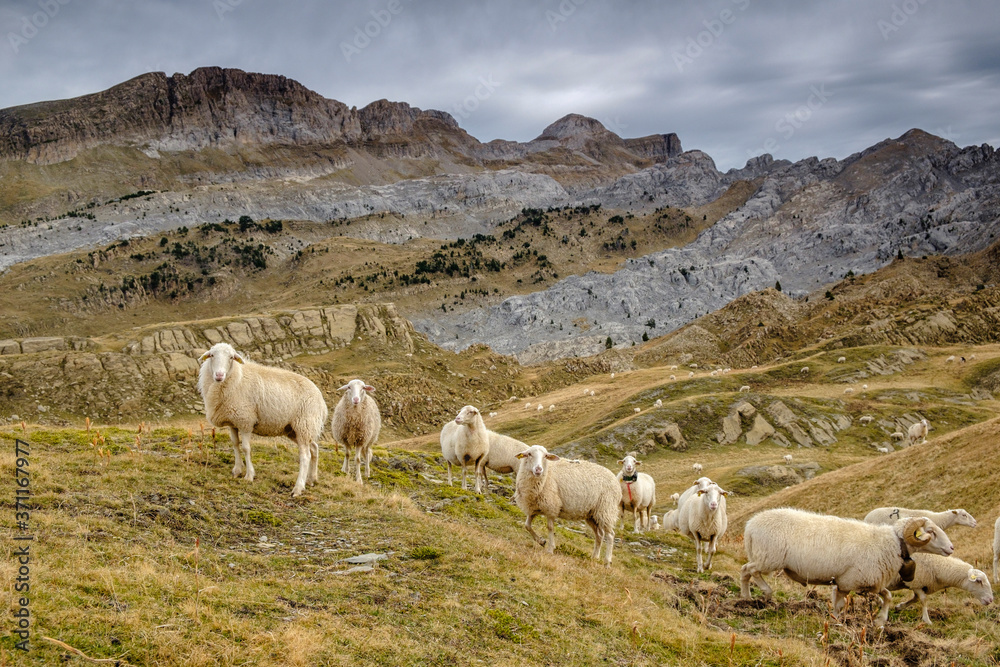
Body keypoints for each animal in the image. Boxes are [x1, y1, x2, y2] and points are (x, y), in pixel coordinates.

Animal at [197, 342, 327, 498]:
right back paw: (312, 479)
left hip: (303, 424)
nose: (219, 375)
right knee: (314, 448)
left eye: (231, 357)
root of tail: (321, 399)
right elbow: (235, 444)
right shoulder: (233, 421)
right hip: (297, 429)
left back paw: (298, 488)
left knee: (305, 456)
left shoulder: (246, 421)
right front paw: (237, 470)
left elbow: (246, 448)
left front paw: (249, 475)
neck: (236, 377)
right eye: (212, 355)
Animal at [740, 508, 955, 626]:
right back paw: (763, 593)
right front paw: (835, 621)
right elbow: (840, 604)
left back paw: (746, 598)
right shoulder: (849, 581)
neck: (892, 543)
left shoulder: (869, 581)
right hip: (769, 557)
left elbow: (887, 596)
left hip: (765, 556)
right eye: (931, 532)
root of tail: (750, 526)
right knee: (749, 570)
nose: (952, 548)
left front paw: (880, 620)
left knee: (746, 571)